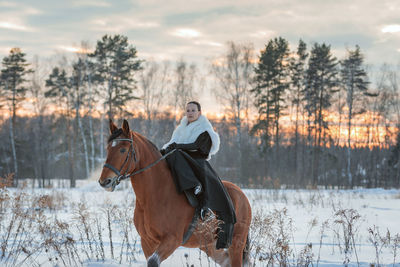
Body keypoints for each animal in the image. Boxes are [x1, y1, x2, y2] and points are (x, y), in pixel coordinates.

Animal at [98, 120, 252, 266]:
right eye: (108, 149)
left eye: (123, 150)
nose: (105, 181)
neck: (154, 195)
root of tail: (242, 195)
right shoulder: (147, 242)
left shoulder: (172, 240)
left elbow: (153, 261)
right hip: (209, 245)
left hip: (236, 243)